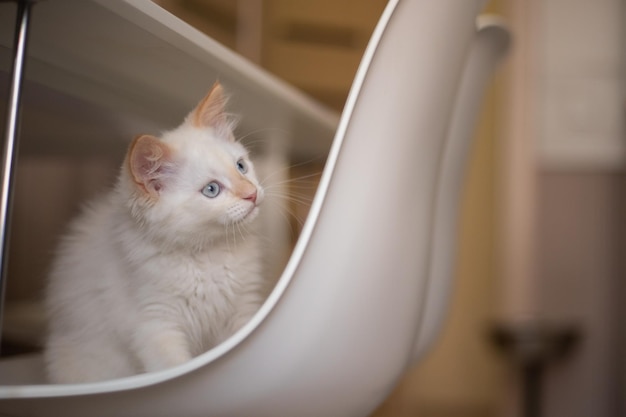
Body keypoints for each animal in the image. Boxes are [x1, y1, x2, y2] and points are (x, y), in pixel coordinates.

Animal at [44, 83, 266, 382]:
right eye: (211, 190)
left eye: (241, 166)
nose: (251, 193)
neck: (208, 254)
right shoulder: (155, 324)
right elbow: (174, 368)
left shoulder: (241, 310)